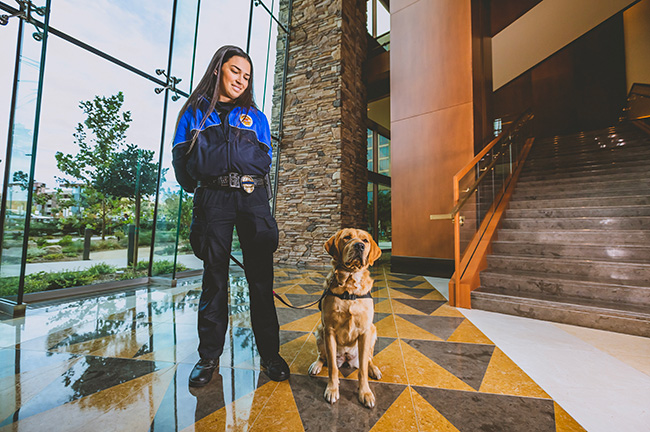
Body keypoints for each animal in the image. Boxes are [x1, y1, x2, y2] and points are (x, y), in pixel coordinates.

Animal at [308, 228, 380, 406]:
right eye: (347, 237)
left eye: (365, 240)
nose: (359, 246)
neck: (349, 285)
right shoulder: (329, 331)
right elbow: (333, 368)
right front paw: (332, 389)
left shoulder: (365, 332)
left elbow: (362, 370)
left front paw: (365, 392)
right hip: (320, 332)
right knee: (323, 357)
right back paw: (316, 365)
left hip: (373, 331)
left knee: (368, 359)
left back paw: (373, 369)